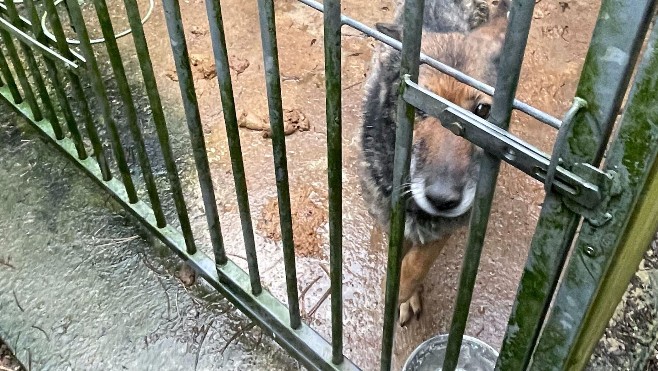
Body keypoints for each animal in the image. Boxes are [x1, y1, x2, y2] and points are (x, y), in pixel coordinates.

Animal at [358, 0, 508, 326]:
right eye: (418, 108)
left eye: (482, 110)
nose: (442, 199)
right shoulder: (390, 212)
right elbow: (401, 250)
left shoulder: (449, 222)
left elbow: (417, 262)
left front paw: (403, 290)